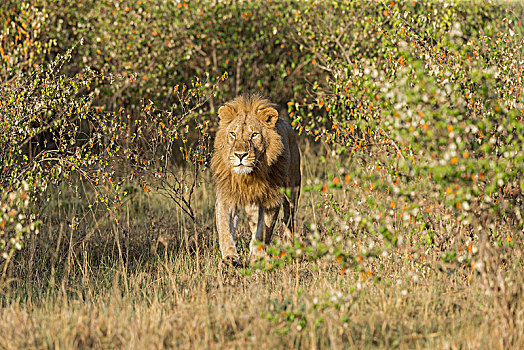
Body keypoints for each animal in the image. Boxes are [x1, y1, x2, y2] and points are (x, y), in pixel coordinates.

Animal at [211, 93, 300, 266]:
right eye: (233, 134)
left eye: (254, 135)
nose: (240, 155)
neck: (248, 177)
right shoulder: (226, 195)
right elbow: (225, 228)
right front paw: (229, 258)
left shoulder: (272, 199)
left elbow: (263, 231)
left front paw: (257, 257)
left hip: (292, 192)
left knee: (289, 221)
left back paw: (288, 249)